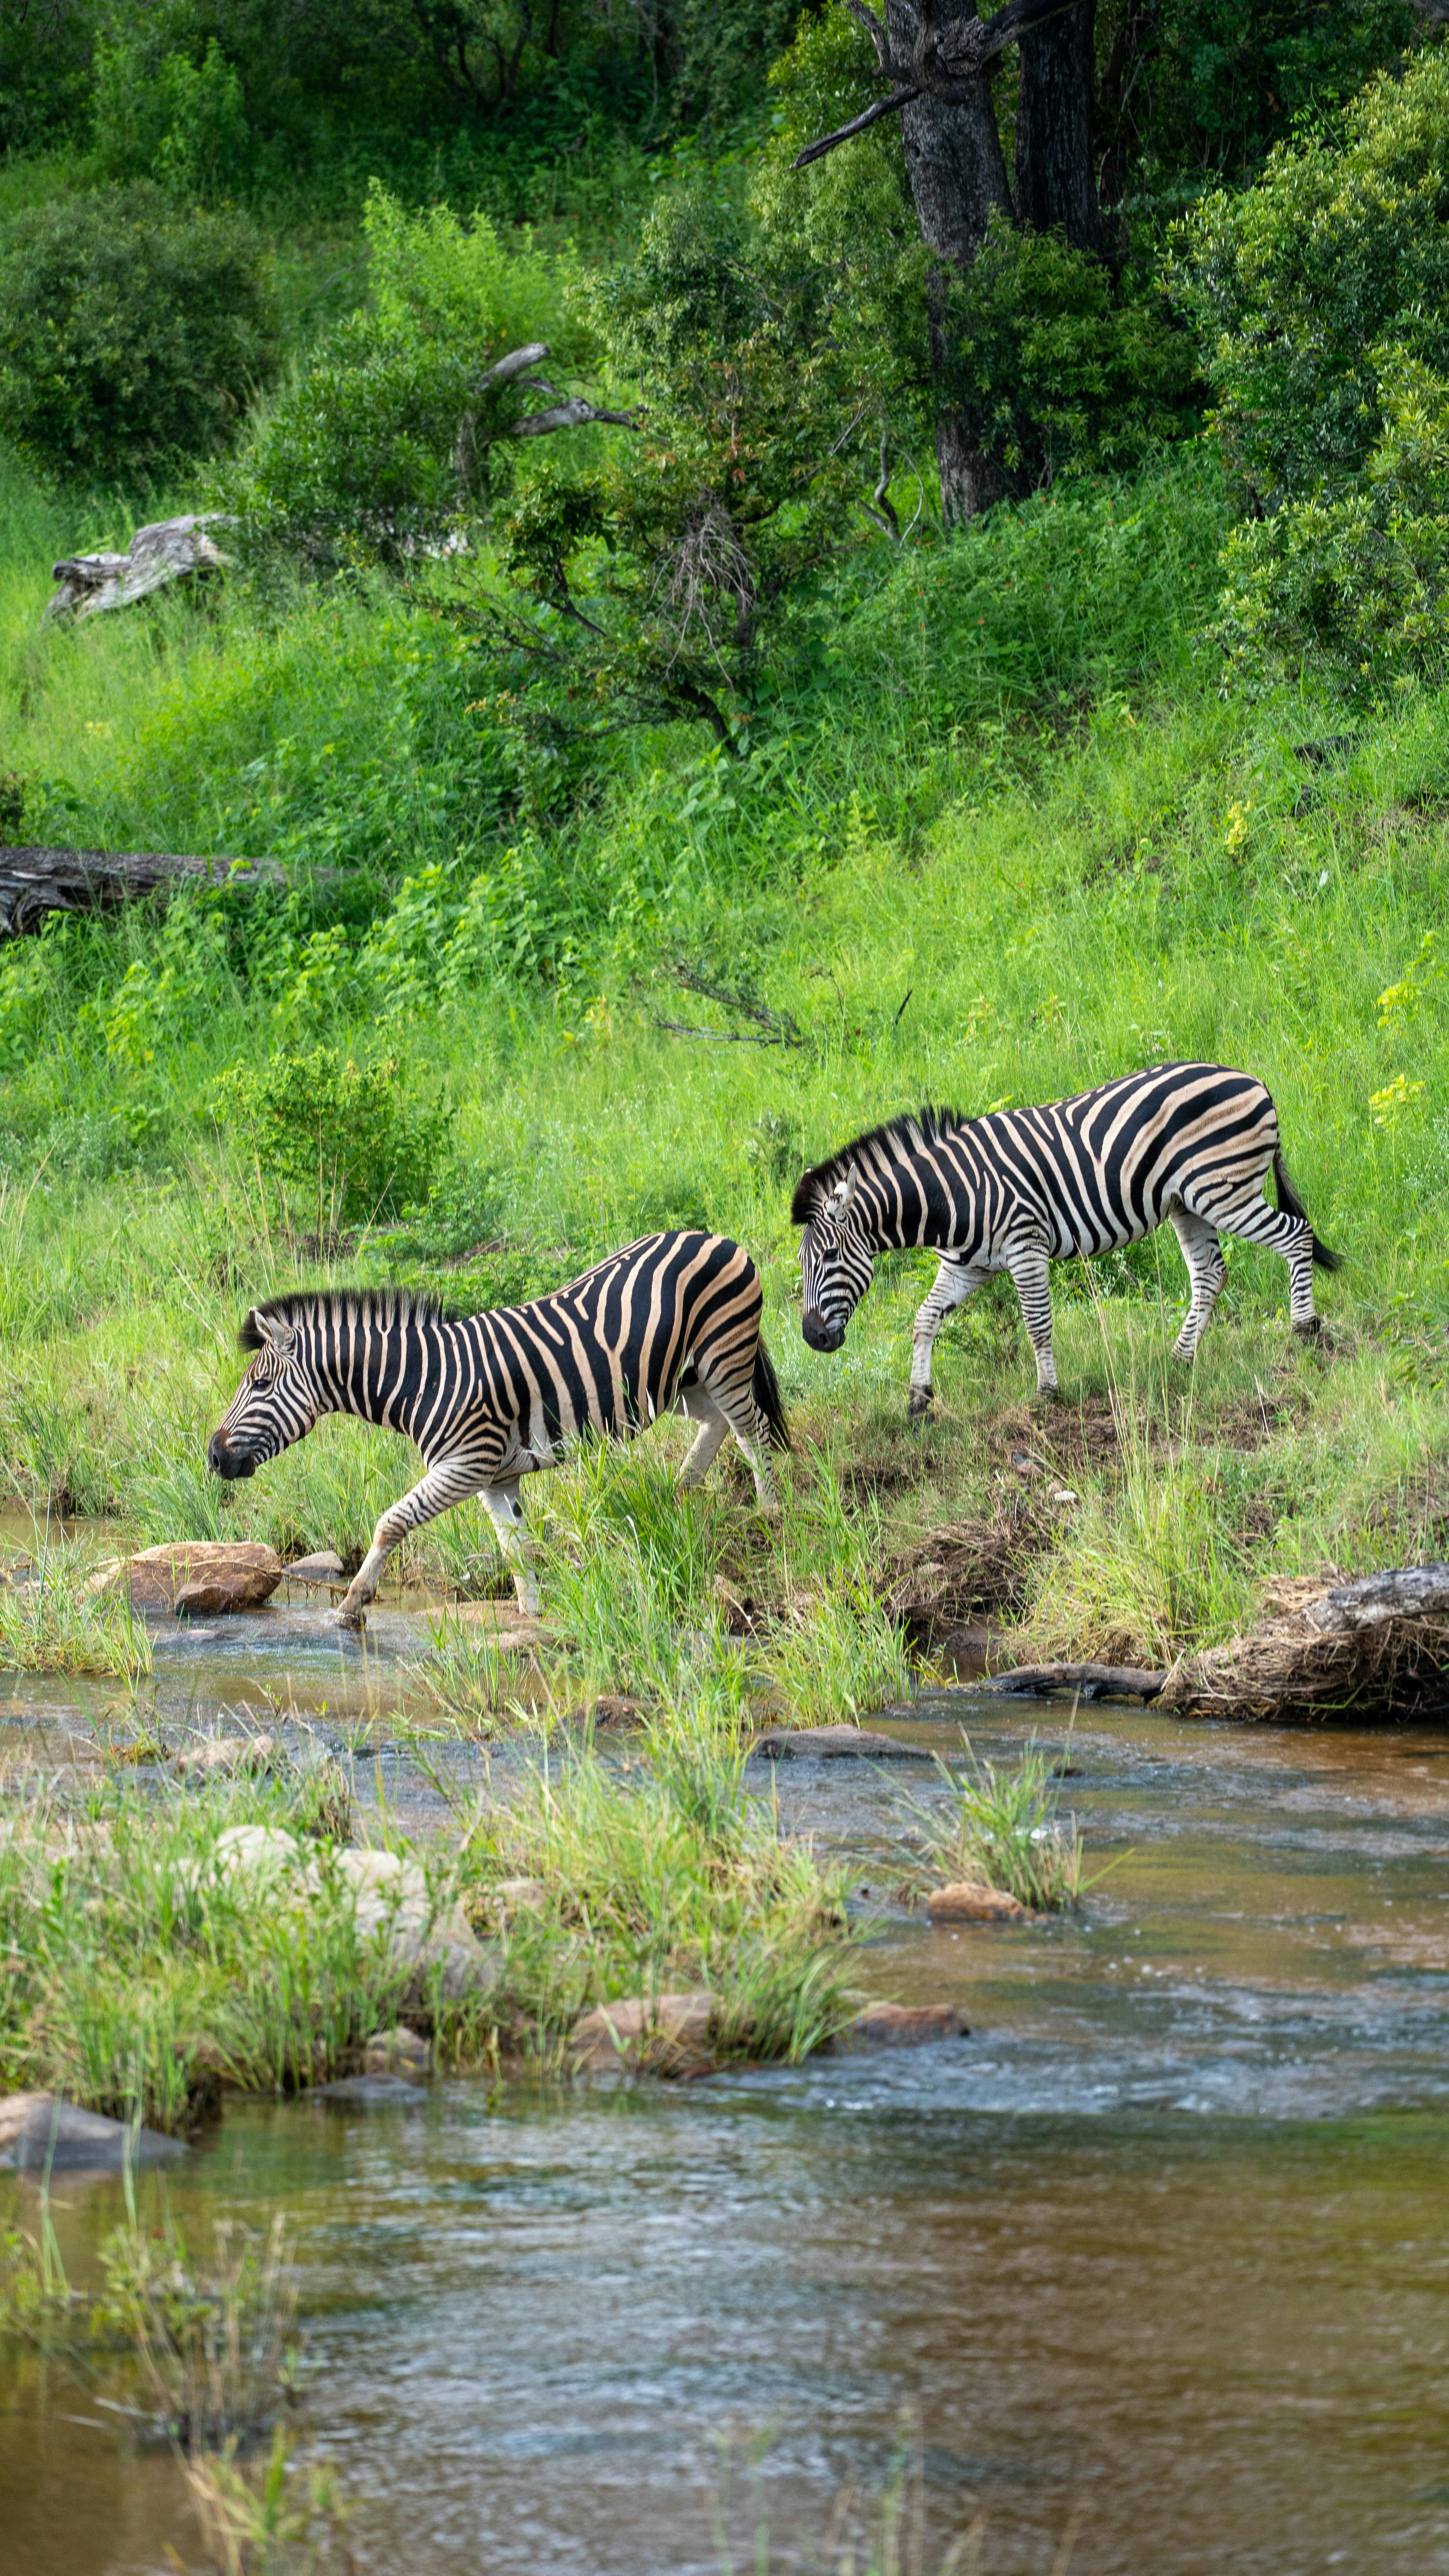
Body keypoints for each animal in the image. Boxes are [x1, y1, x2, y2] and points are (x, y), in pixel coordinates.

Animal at [207, 1231, 789, 1629]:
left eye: (260, 1386)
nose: (213, 1456)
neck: (424, 1379)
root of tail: (712, 1236)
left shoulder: (466, 1465)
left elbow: (391, 1523)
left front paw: (352, 1605)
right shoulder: (496, 1479)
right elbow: (516, 1551)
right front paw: (532, 1617)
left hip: (723, 1356)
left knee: (751, 1429)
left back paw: (771, 1512)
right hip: (681, 1382)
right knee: (719, 1424)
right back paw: (680, 1491)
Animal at [792, 1062, 1339, 1415]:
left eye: (832, 1254)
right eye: (802, 1265)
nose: (813, 1338)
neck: (951, 1196)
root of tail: (1254, 1080)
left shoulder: (1025, 1247)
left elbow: (1036, 1325)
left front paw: (1046, 1393)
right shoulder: (967, 1265)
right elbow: (924, 1320)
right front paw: (918, 1399)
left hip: (1223, 1190)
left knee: (1296, 1236)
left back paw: (1304, 1330)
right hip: (1189, 1203)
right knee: (1210, 1275)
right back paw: (1179, 1360)